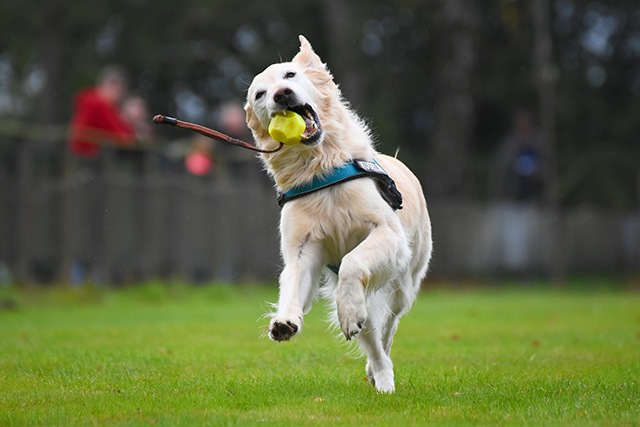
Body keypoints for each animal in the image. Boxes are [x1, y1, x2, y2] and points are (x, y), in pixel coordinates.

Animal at [242, 35, 432, 392]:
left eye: (290, 75)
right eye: (259, 94)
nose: (281, 94)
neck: (320, 168)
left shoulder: (388, 235)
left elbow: (351, 262)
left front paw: (347, 311)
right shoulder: (302, 251)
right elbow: (292, 284)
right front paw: (285, 320)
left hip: (404, 283)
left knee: (387, 328)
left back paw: (380, 372)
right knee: (372, 334)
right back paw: (377, 372)